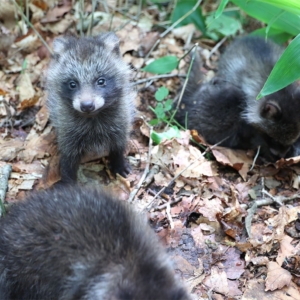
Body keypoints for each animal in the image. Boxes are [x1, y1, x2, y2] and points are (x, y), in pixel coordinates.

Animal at [46, 32, 135, 183]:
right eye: (72, 84)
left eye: (101, 81)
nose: (87, 105)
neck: (93, 116)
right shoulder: (67, 130)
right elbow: (68, 158)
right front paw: (68, 181)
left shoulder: (121, 120)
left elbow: (118, 145)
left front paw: (118, 162)